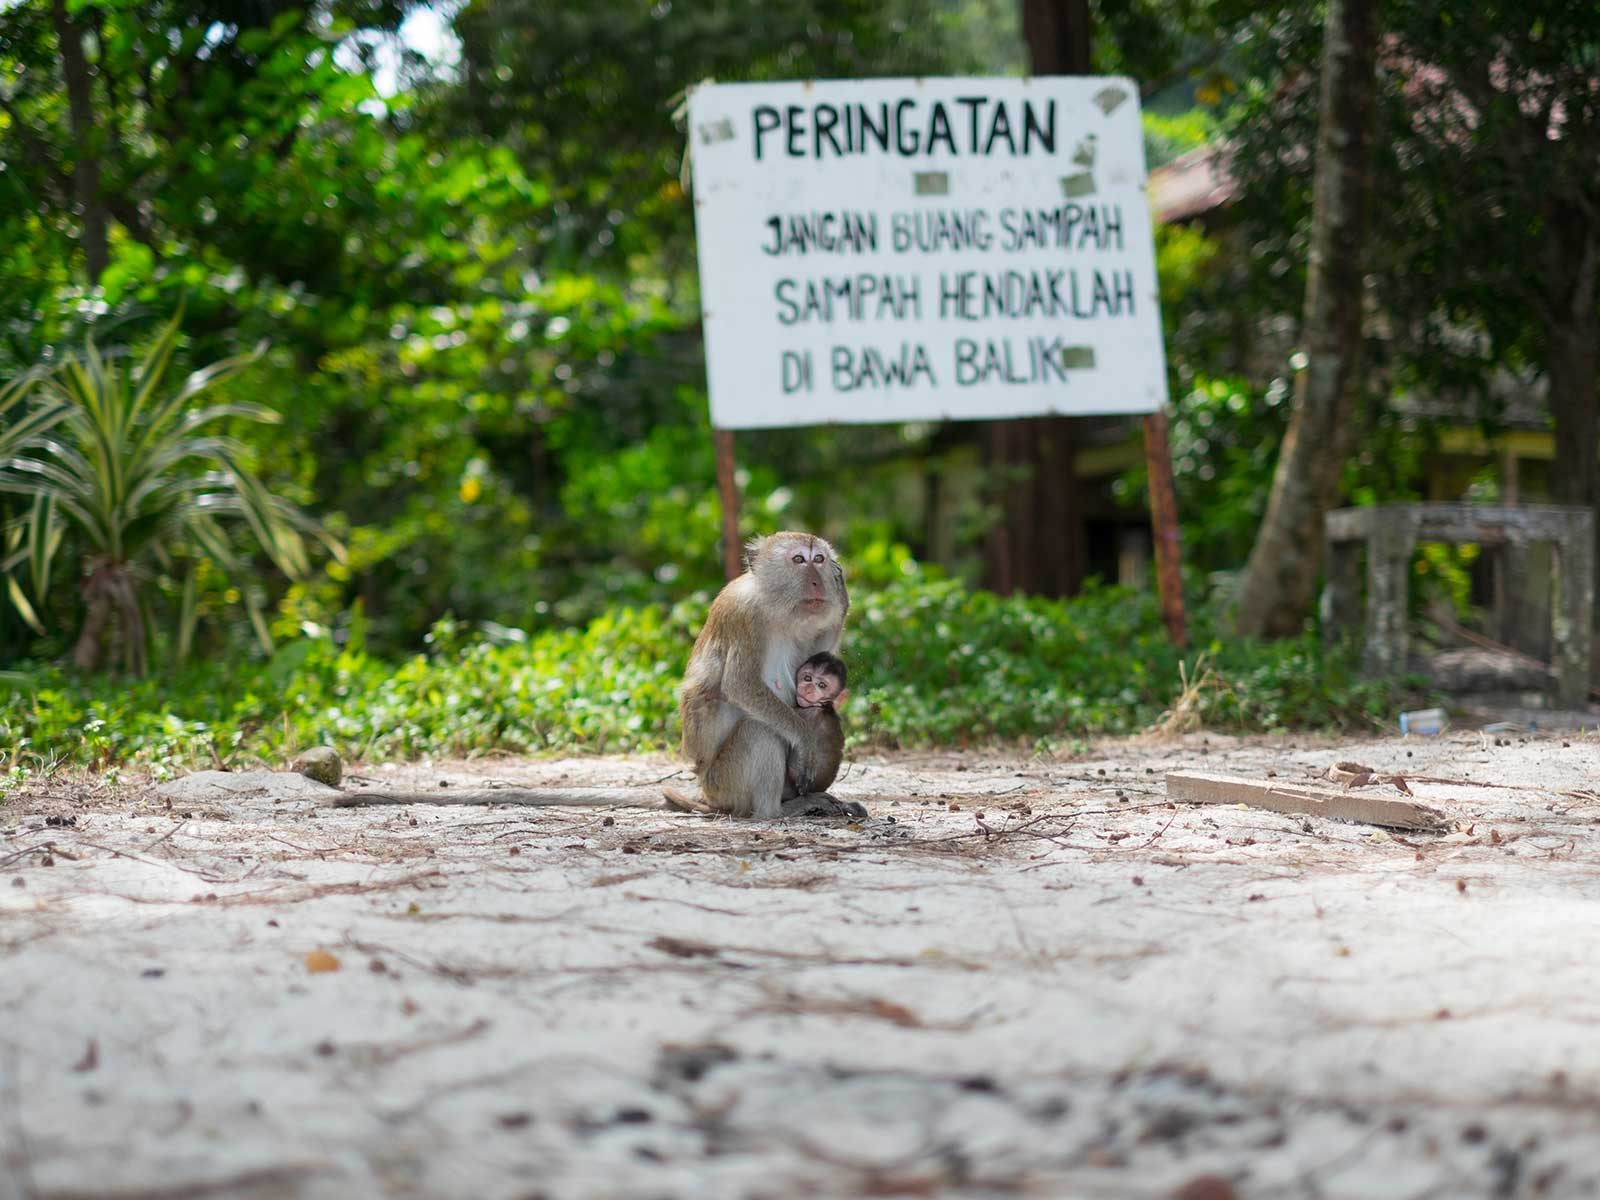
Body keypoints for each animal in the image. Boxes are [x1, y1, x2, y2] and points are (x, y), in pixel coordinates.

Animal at [330, 531, 865, 820]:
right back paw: (780, 810)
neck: (783, 614)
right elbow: (742, 689)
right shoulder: (743, 614)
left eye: (821, 559)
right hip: (725, 785)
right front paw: (805, 740)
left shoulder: (830, 619)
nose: (819, 577)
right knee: (759, 731)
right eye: (799, 560)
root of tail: (704, 792)